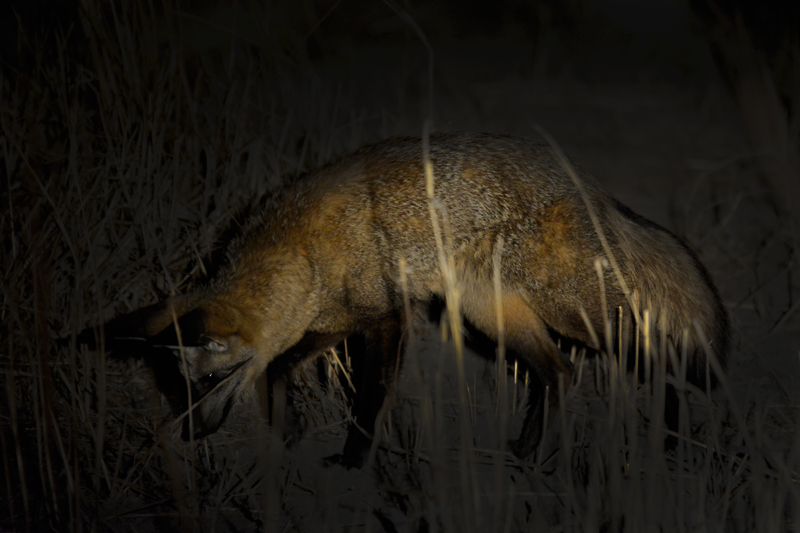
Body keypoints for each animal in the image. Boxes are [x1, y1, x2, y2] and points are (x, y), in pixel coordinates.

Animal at [80, 132, 729, 465]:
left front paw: (352, 460)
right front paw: (288, 428)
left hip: (575, 311)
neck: (302, 253)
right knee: (559, 374)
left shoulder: (387, 318)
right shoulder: (338, 317)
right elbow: (281, 365)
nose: (194, 433)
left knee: (658, 352)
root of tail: (587, 183)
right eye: (183, 388)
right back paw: (526, 451)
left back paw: (673, 440)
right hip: (494, 316)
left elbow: (368, 402)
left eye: (212, 381)